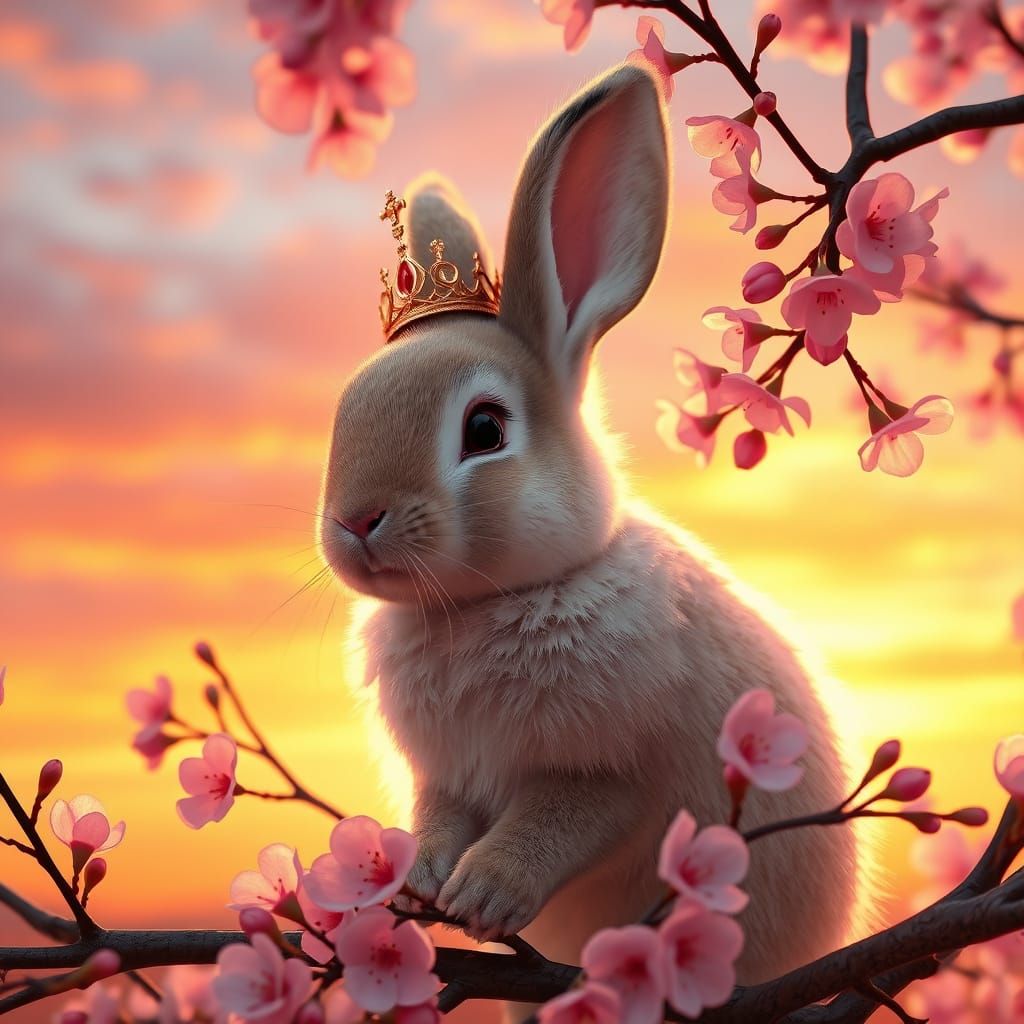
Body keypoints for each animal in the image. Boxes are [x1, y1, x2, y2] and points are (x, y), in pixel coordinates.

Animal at [319, 63, 861, 1019]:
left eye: (486, 429)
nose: (354, 520)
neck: (481, 604)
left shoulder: (612, 772)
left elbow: (559, 824)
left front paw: (479, 894)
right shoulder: (446, 776)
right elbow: (437, 817)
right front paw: (417, 884)